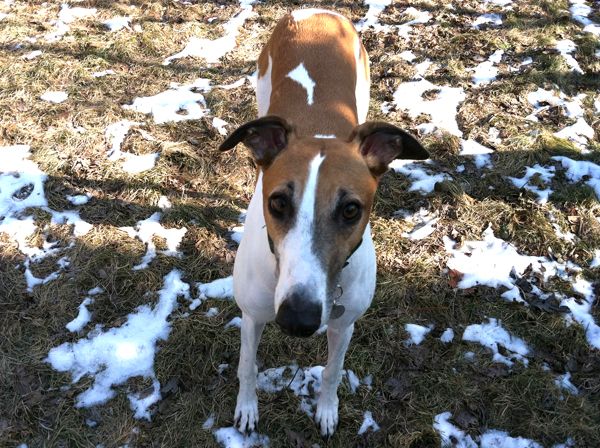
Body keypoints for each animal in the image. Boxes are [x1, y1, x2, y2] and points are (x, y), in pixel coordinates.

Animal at [218, 7, 428, 438]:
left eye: (350, 210)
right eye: (278, 202)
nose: (297, 319)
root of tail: (316, 11)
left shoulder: (344, 323)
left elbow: (332, 371)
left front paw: (327, 411)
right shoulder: (253, 315)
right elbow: (248, 367)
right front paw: (246, 409)